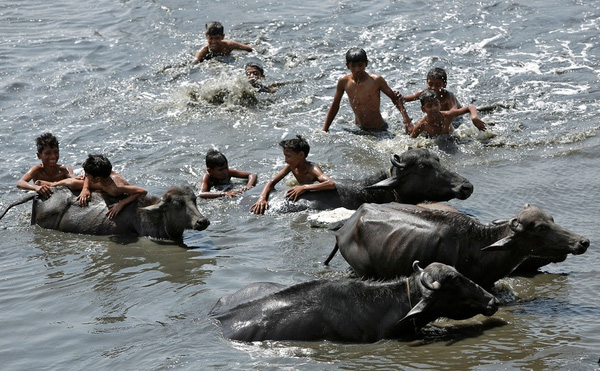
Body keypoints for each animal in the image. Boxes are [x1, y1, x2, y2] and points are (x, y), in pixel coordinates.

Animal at [326, 203, 588, 288]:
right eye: (540, 228)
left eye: (552, 219)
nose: (583, 241)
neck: (478, 246)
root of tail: (346, 228)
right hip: (364, 271)